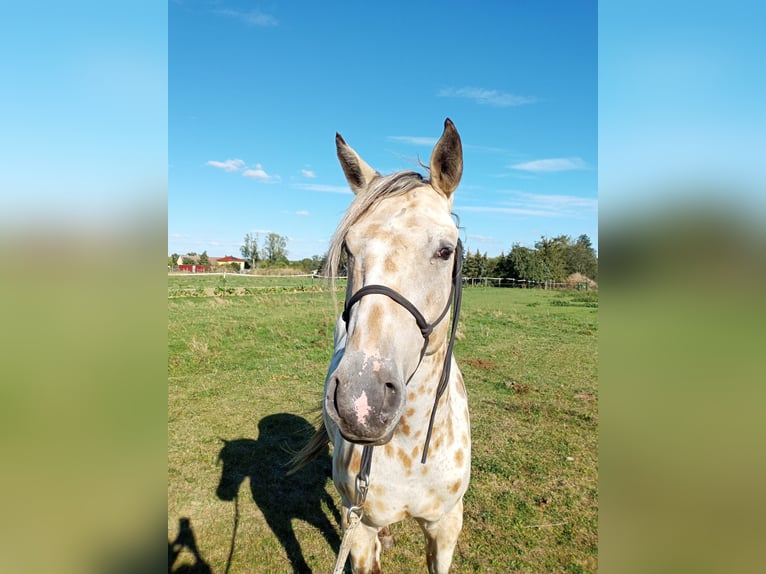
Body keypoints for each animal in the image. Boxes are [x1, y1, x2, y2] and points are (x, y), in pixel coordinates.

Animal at [292, 119, 472, 572]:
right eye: (348, 249)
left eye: (445, 250)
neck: (410, 449)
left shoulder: (446, 526)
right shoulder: (359, 530)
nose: (363, 400)